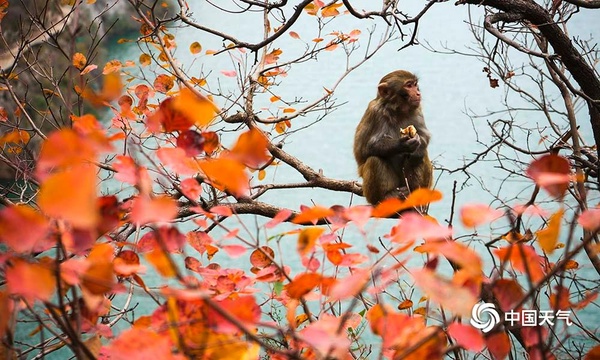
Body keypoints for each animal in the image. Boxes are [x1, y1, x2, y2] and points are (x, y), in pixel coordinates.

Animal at [352, 70, 432, 205]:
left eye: (415, 84)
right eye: (409, 85)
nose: (418, 92)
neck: (398, 111)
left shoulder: (417, 109)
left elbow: (425, 136)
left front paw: (417, 145)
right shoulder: (375, 112)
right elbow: (363, 150)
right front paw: (402, 144)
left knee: (422, 155)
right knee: (374, 159)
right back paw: (385, 197)